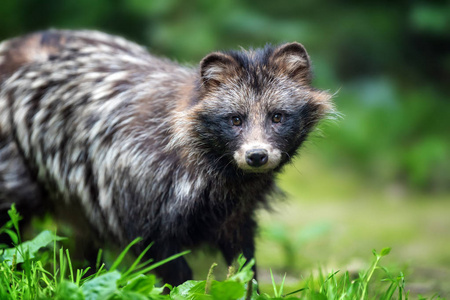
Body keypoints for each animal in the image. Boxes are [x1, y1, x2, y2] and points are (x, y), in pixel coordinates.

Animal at [0, 30, 330, 286]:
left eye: (278, 117)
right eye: (235, 119)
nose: (257, 156)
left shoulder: (236, 218)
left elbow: (244, 270)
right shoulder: (138, 208)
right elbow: (177, 276)